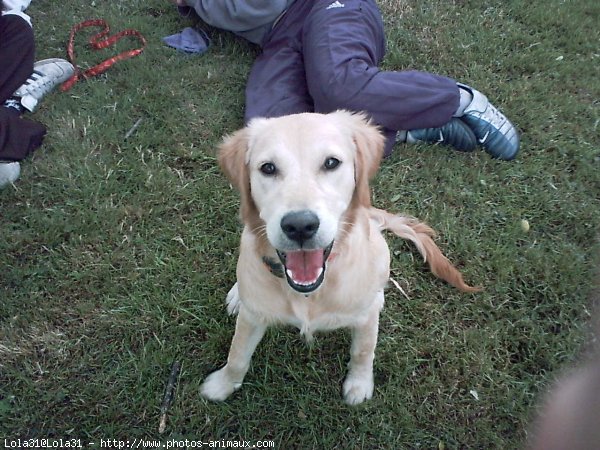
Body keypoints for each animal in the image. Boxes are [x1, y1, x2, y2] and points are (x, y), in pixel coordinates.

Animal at [202, 110, 478, 404]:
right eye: (268, 168)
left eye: (331, 163)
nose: (300, 226)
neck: (309, 293)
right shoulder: (253, 317)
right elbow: (238, 353)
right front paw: (222, 385)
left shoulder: (365, 319)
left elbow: (363, 351)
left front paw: (359, 385)